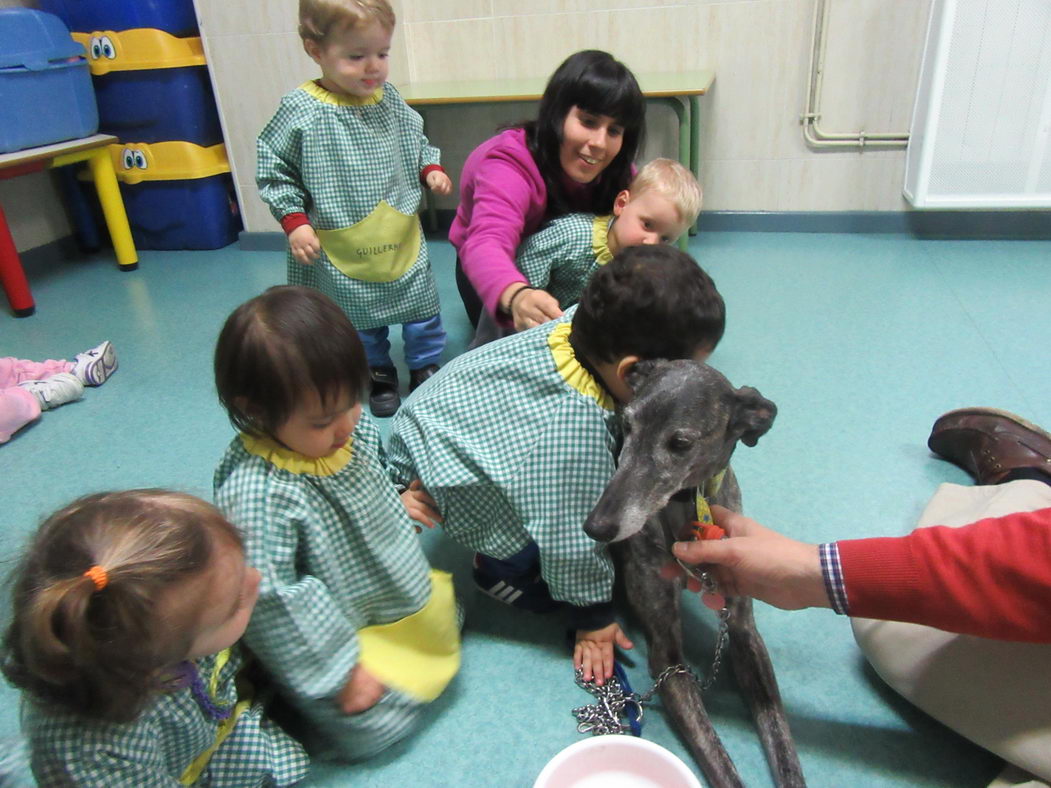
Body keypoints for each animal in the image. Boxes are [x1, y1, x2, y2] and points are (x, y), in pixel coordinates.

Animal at [584, 361, 802, 788]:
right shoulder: (668, 657)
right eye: (627, 425)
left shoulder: (745, 631)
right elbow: (722, 766)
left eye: (680, 443)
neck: (685, 505)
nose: (595, 527)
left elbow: (782, 743)